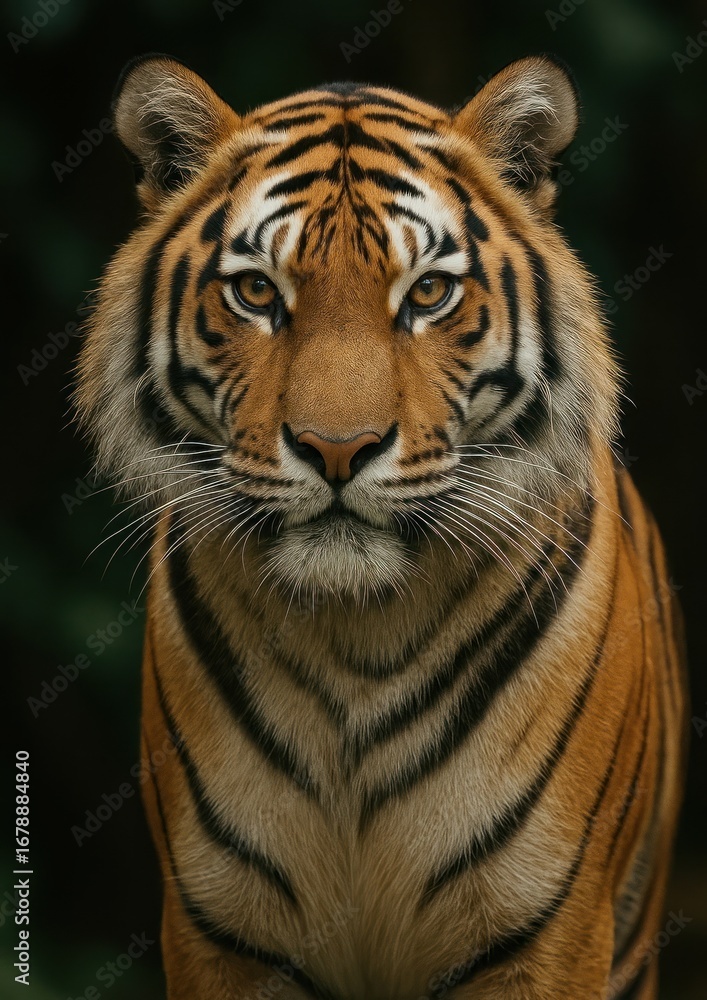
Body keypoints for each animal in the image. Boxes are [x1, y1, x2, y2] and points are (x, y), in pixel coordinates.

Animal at [75, 52, 688, 999]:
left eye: (427, 292)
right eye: (256, 291)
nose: (338, 449)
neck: (353, 635)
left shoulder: (548, 931)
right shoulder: (220, 933)